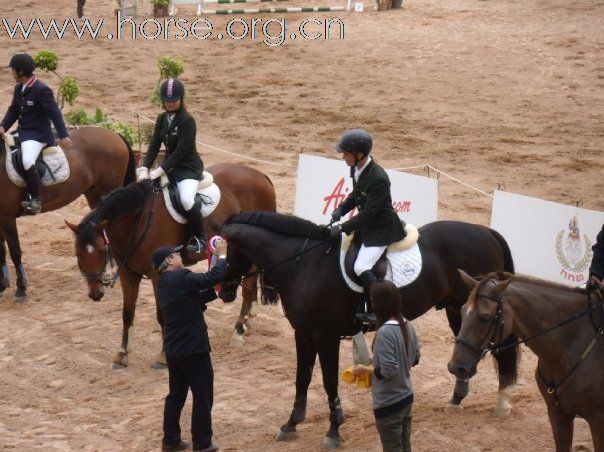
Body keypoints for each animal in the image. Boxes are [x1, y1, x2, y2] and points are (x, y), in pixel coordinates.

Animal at [0, 125, 136, 300]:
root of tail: (115, 135)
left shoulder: (7, 217)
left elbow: (15, 251)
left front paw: (21, 288)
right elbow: (2, 249)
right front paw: (3, 284)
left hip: (109, 189)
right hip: (94, 194)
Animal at [64, 164, 276, 370]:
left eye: (101, 250)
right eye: (78, 254)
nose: (96, 294)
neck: (138, 219)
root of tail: (259, 175)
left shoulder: (158, 275)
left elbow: (163, 315)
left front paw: (163, 357)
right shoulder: (128, 274)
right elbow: (127, 313)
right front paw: (122, 354)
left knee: (248, 285)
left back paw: (238, 331)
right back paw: (247, 321)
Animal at [216, 213, 520, 448]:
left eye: (225, 251)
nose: (224, 292)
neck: (304, 263)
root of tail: (486, 232)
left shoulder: (325, 337)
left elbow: (328, 381)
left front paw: (333, 431)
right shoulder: (302, 334)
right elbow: (302, 378)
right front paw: (291, 424)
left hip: (479, 311)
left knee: (501, 352)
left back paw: (503, 402)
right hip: (457, 309)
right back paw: (458, 398)